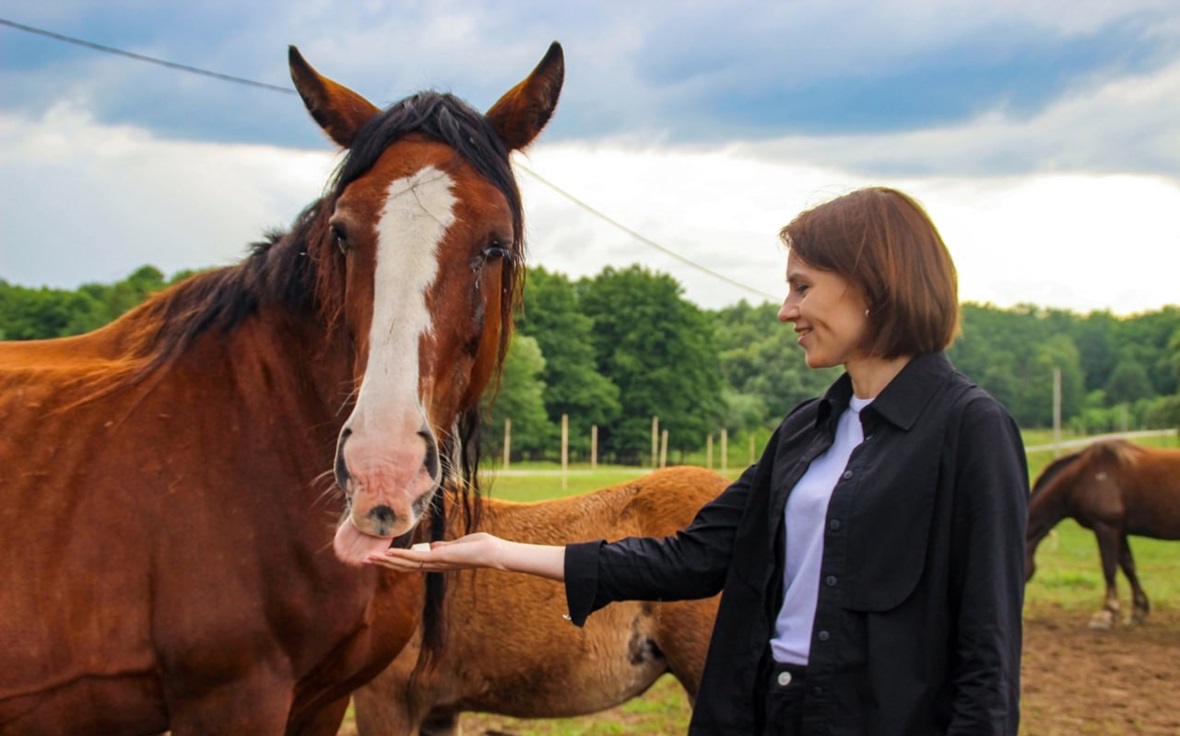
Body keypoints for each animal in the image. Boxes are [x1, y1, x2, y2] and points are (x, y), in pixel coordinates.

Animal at [0, 43, 561, 731]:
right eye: (342, 232)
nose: (381, 472)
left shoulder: (322, 699)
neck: (266, 432)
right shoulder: (233, 698)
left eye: (496, 244)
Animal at [1024, 438, 1180, 627]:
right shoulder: (1120, 531)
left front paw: (1107, 613)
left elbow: (1109, 568)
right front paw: (1137, 611)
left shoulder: (1106, 527)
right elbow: (1129, 567)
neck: (1081, 477)